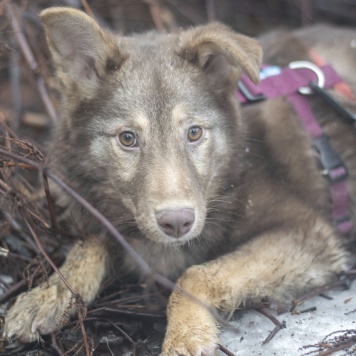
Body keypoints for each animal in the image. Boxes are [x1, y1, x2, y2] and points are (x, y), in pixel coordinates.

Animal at [3, 8, 356, 356]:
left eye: (194, 132)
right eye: (128, 138)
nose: (177, 223)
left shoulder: (308, 232)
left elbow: (194, 274)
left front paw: (184, 333)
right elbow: (87, 243)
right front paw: (48, 294)